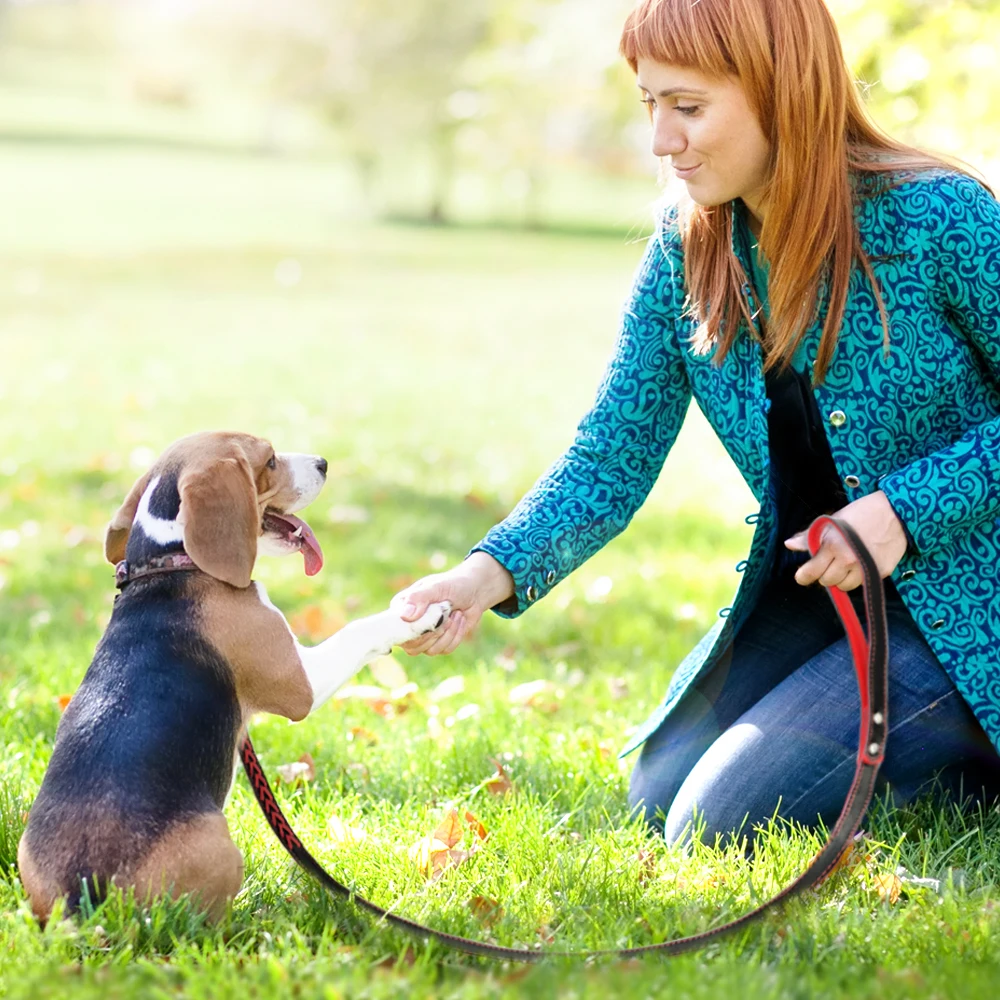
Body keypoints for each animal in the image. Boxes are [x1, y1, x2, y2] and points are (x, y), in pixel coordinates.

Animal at [17, 430, 448, 920]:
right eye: (271, 460)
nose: (323, 462)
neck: (174, 561)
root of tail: (84, 895)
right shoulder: (299, 683)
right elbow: (359, 629)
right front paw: (419, 612)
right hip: (220, 847)